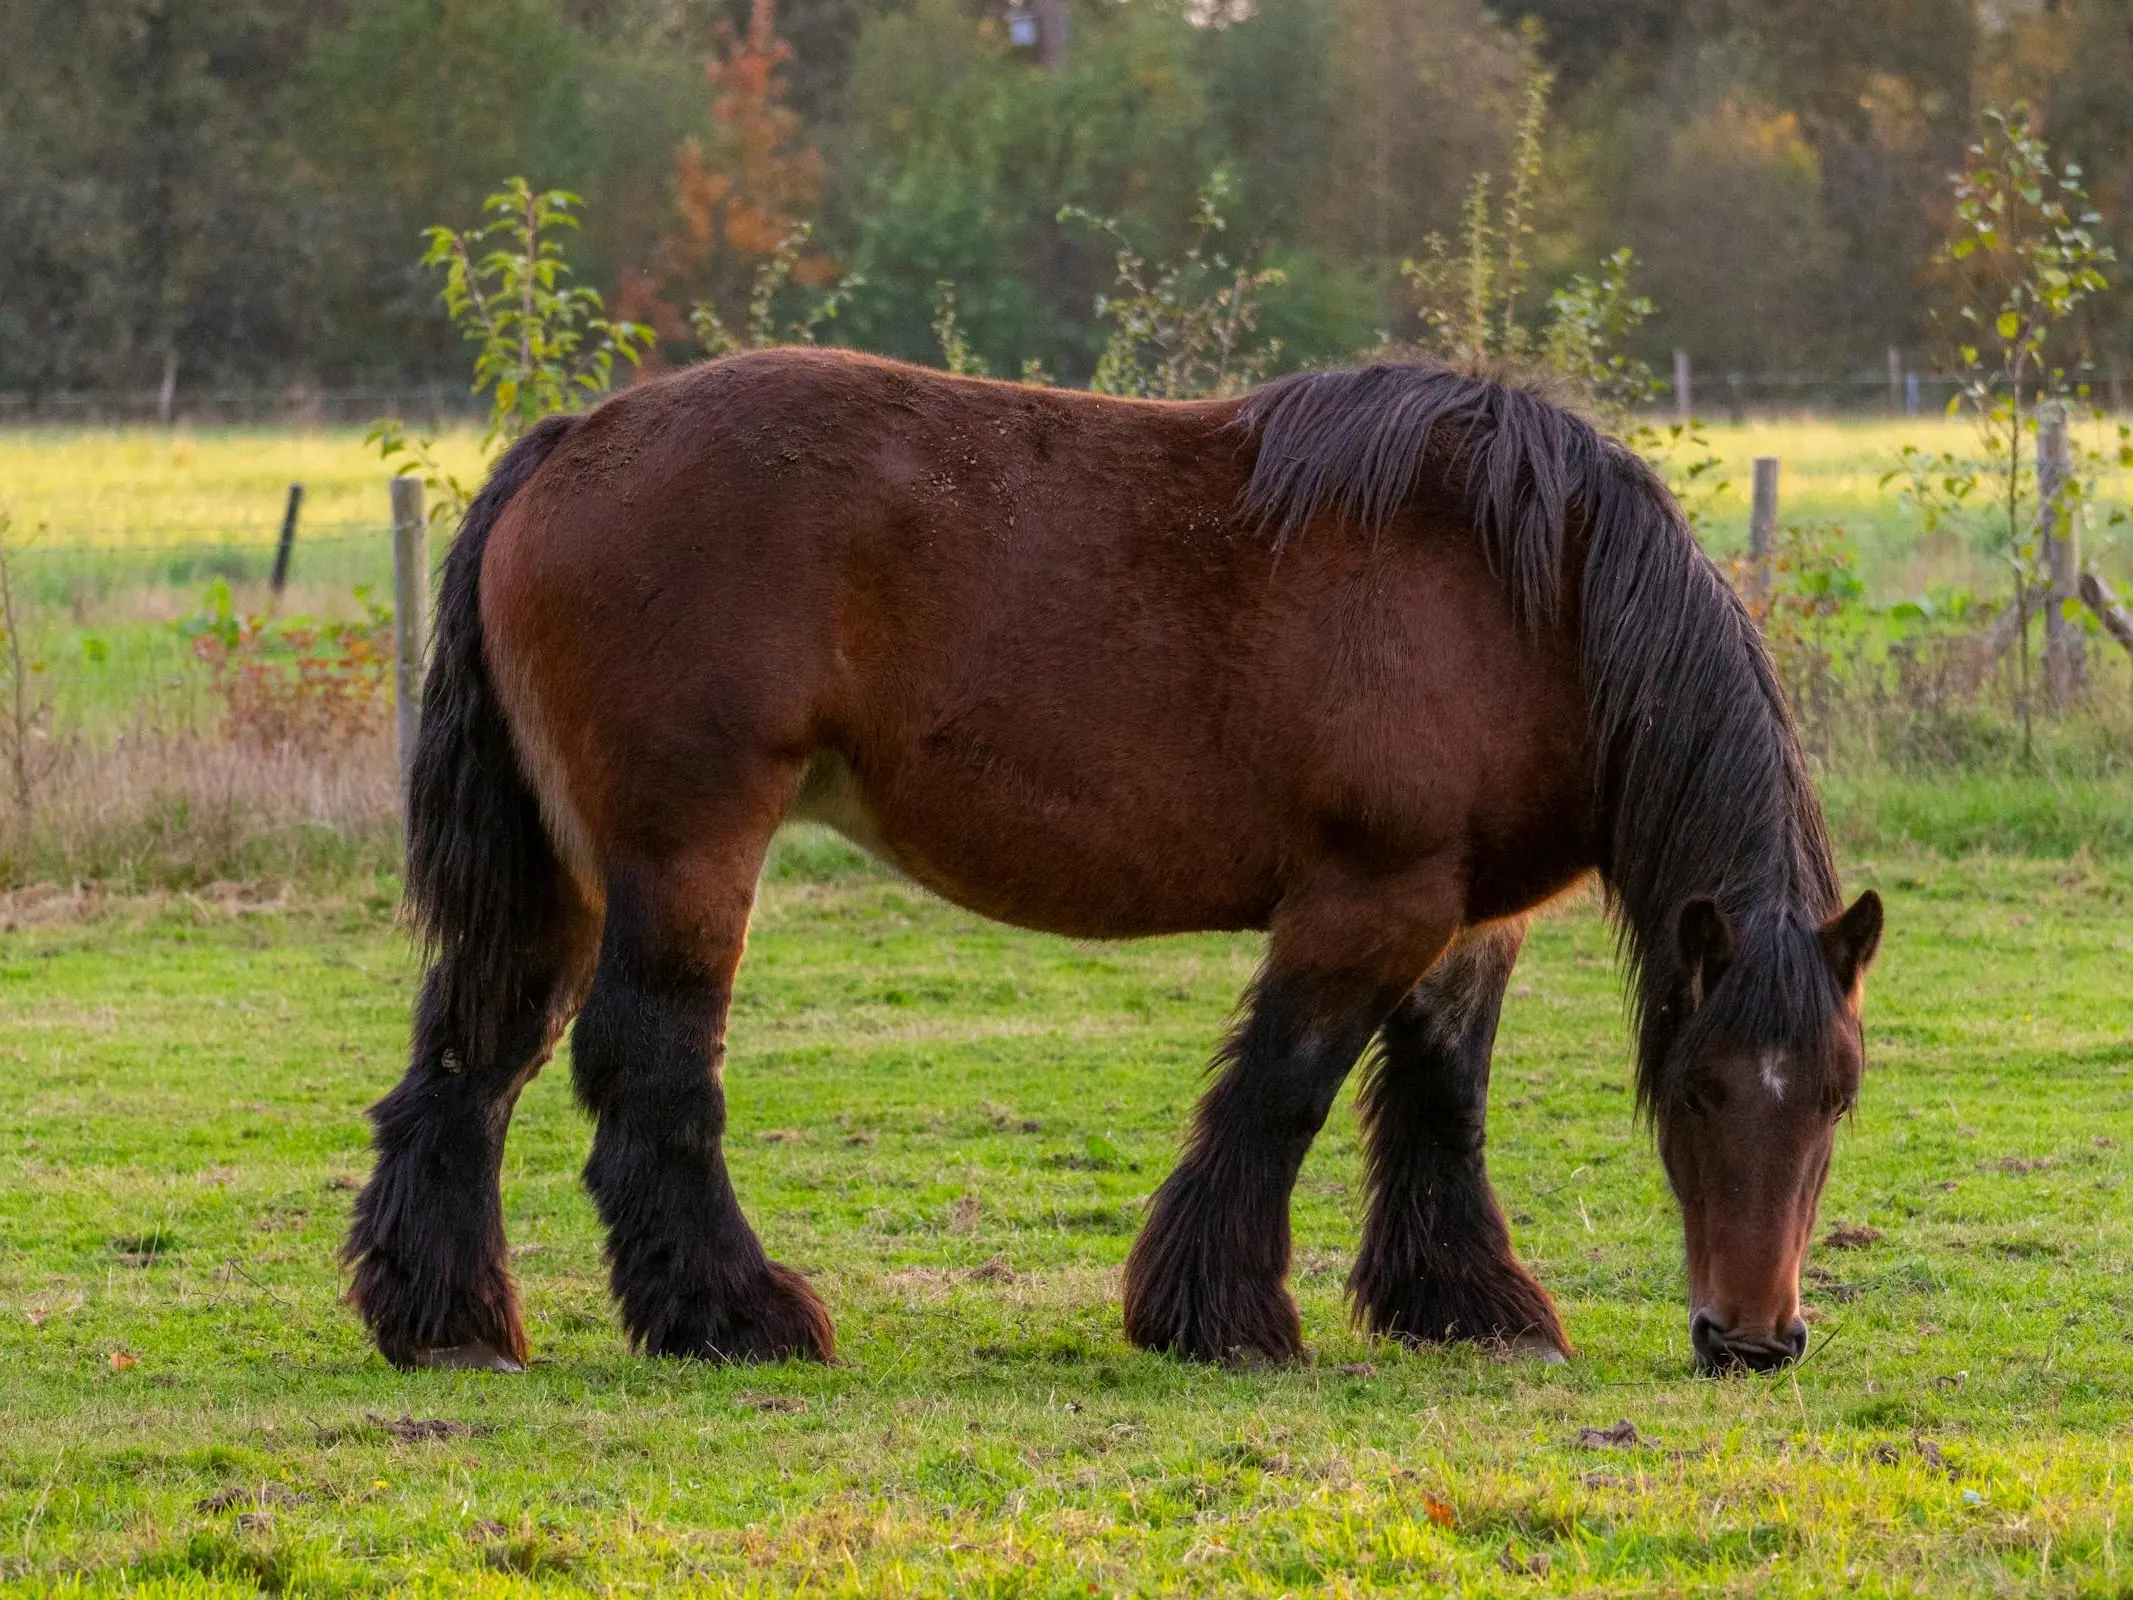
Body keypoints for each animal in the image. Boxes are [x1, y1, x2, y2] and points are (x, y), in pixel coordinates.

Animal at [341, 349, 1882, 1377]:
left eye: (1836, 1099)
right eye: (1699, 1089)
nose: (1754, 1340)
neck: (1528, 596)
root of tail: (568, 444)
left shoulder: (1467, 924)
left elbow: (1440, 1104)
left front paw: (1467, 1306)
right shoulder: (1368, 905)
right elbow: (1282, 1093)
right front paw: (1222, 1318)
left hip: (564, 878)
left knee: (471, 1066)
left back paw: (447, 1323)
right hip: (685, 860)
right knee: (648, 1070)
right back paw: (730, 1314)